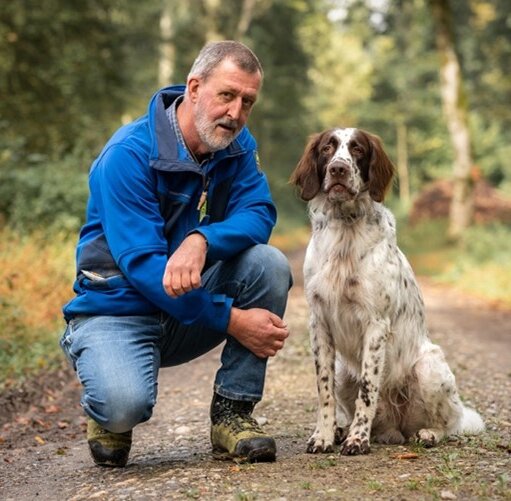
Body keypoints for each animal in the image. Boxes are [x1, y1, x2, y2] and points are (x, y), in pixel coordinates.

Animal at [292, 128, 484, 454]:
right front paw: (324, 436)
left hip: (429, 368)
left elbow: (368, 389)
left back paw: (427, 434)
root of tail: (396, 428)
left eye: (357, 149)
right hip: (345, 372)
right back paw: (345, 430)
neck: (346, 227)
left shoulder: (376, 323)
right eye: (327, 148)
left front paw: (358, 440)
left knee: (451, 423)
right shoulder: (318, 322)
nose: (338, 169)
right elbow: (324, 390)